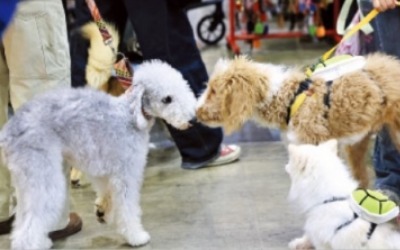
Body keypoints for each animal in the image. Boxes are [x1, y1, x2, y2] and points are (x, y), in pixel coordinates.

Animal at [0, 60, 195, 248]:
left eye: (184, 87)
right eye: (167, 99)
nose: (192, 120)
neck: (130, 116)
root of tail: (8, 132)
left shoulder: (102, 170)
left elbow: (106, 191)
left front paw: (103, 211)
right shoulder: (125, 173)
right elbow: (127, 207)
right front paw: (136, 236)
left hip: (27, 180)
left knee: (22, 218)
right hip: (42, 175)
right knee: (27, 229)